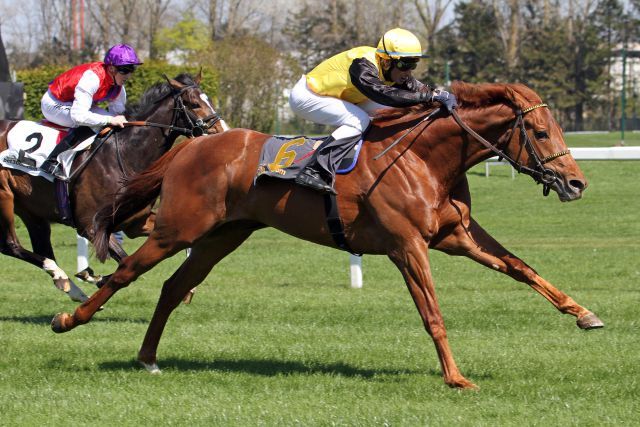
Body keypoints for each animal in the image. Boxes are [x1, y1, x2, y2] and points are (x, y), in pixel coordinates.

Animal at [0, 72, 225, 300]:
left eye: (209, 100)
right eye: (194, 104)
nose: (222, 130)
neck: (125, 156)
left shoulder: (136, 222)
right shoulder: (90, 226)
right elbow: (125, 261)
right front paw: (94, 277)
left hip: (31, 210)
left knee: (42, 247)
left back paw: (69, 286)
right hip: (5, 197)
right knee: (10, 245)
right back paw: (62, 276)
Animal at [52, 82, 604, 390]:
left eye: (556, 128)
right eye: (540, 133)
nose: (577, 183)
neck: (425, 158)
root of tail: (192, 146)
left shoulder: (458, 236)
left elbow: (523, 268)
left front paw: (584, 314)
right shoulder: (407, 246)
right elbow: (433, 314)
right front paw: (455, 377)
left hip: (221, 236)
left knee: (171, 287)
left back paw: (148, 358)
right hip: (177, 229)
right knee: (125, 273)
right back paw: (68, 318)